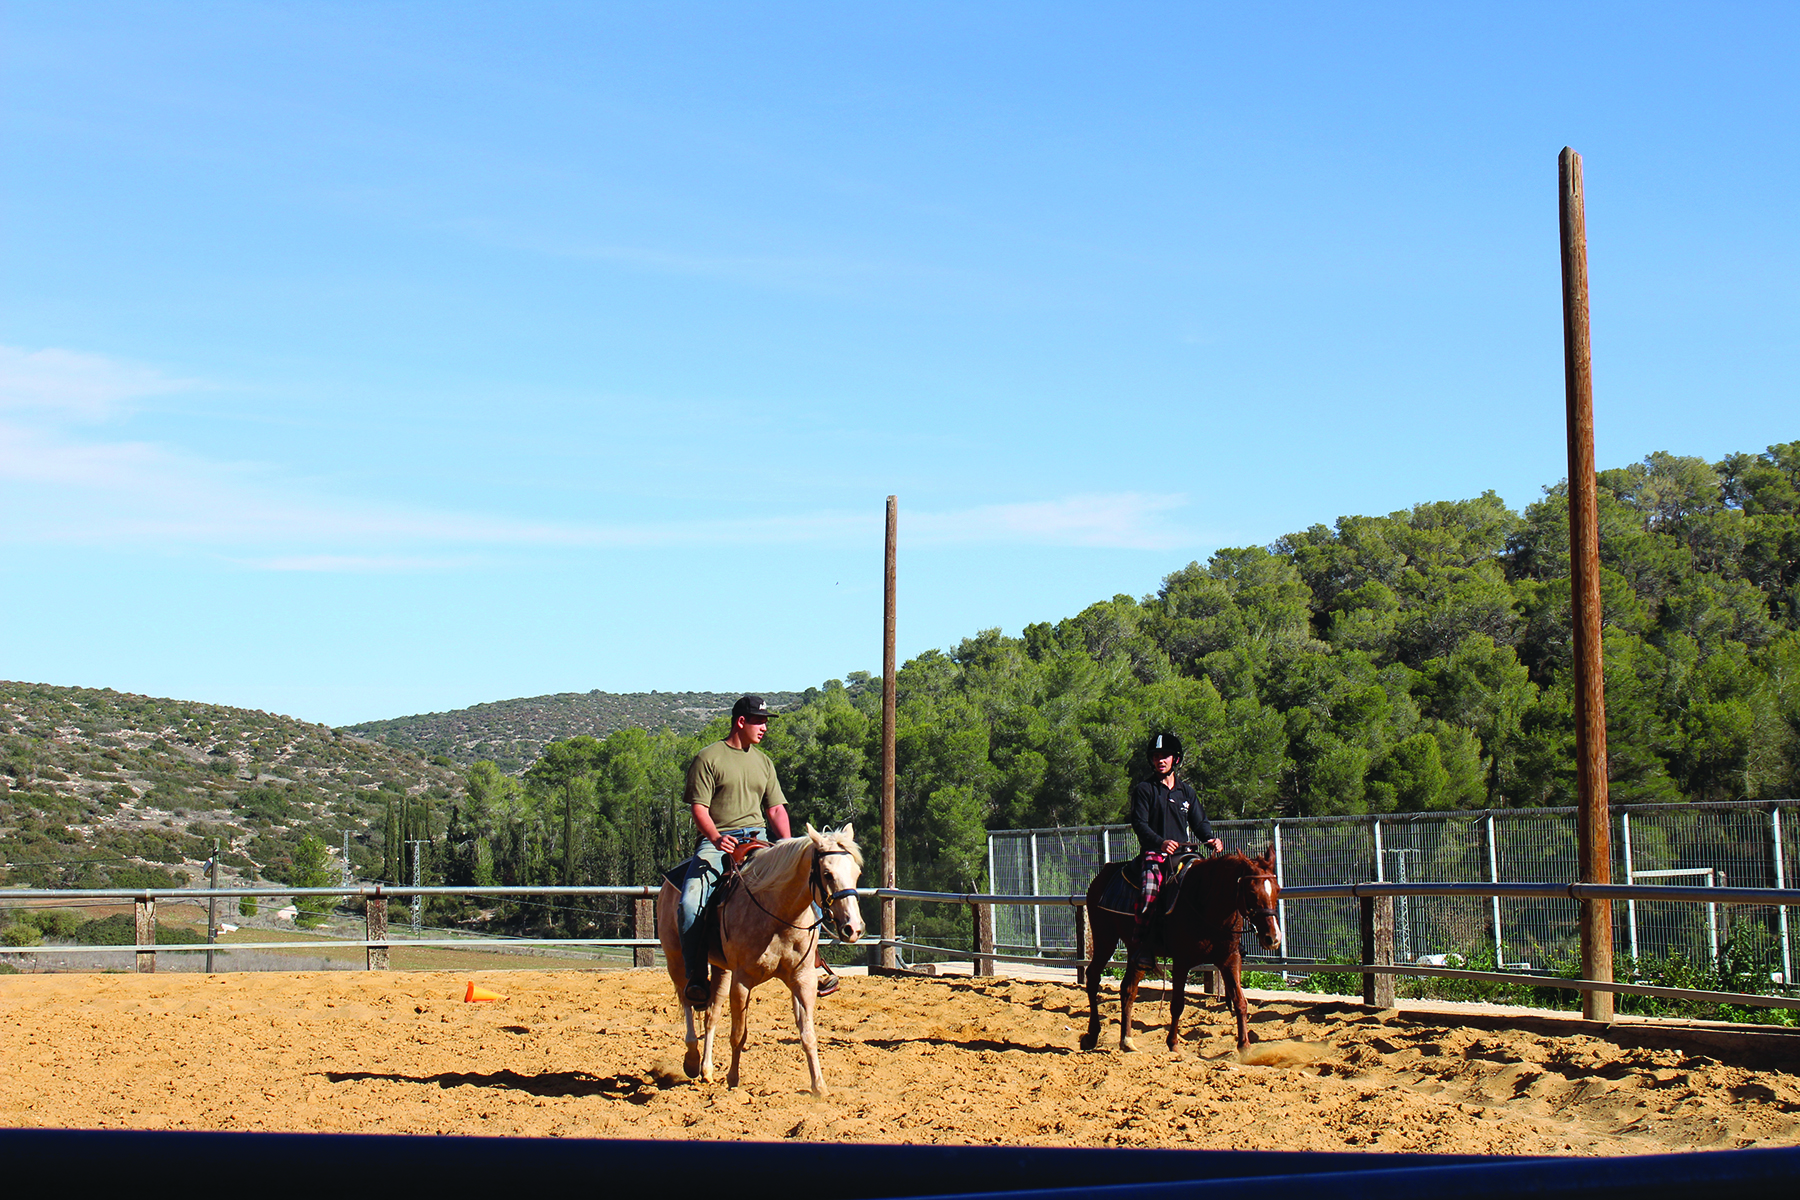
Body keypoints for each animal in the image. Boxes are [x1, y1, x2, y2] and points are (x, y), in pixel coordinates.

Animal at [655, 827, 864, 1101]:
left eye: (857, 873)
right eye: (827, 874)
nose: (854, 928)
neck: (778, 914)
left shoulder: (803, 979)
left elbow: (808, 1034)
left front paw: (818, 1087)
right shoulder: (742, 981)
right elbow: (738, 1034)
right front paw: (733, 1081)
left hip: (721, 969)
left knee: (711, 1014)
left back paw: (707, 1070)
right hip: (676, 961)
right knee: (688, 1001)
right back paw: (691, 1060)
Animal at [1080, 849, 1281, 1057]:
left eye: (1278, 890)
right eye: (1252, 892)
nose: (1273, 938)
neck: (1205, 902)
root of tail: (1104, 873)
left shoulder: (1230, 958)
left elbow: (1240, 1000)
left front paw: (1244, 1047)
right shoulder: (1181, 962)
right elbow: (1177, 1004)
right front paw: (1173, 1044)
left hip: (1135, 949)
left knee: (1128, 988)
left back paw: (1126, 1041)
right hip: (1105, 939)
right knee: (1093, 977)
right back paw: (1092, 1035)